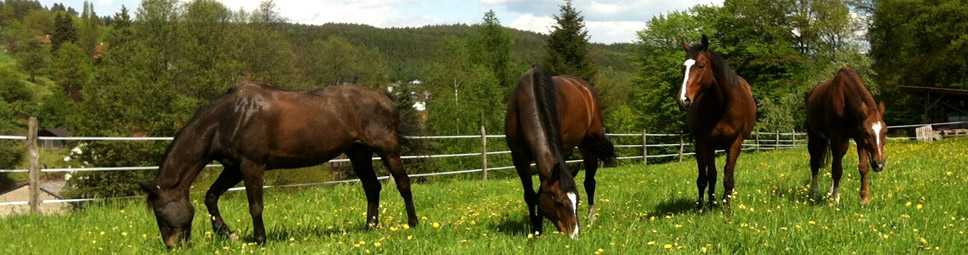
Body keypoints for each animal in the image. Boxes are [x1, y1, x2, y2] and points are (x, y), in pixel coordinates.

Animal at [138, 82, 418, 249]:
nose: (174, 247)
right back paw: (370, 227)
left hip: (387, 150)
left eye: (161, 215)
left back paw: (413, 224)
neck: (230, 118)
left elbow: (255, 206)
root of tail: (386, 97)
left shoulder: (252, 166)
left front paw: (259, 240)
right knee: (372, 187)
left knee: (403, 184)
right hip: (358, 153)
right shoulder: (233, 168)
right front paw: (227, 233)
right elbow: (211, 196)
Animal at [502, 64, 616, 238]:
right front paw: (535, 229)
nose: (574, 234)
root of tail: (585, 87)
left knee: (590, 182)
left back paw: (591, 218)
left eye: (577, 201)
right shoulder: (519, 157)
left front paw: (538, 227)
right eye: (558, 202)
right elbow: (530, 195)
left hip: (588, 145)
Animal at [672, 34, 756, 208]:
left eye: (701, 65)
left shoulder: (735, 143)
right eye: (683, 68)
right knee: (712, 174)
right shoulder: (703, 142)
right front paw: (702, 208)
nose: (683, 99)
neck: (722, 106)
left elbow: (728, 178)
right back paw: (711, 203)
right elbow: (704, 178)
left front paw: (727, 210)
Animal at [804, 66, 888, 204]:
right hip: (814, 138)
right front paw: (836, 200)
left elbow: (863, 167)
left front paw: (865, 199)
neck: (844, 100)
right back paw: (814, 192)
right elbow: (837, 169)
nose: (879, 164)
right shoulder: (837, 138)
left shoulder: (859, 140)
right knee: (815, 163)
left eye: (885, 131)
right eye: (867, 132)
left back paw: (830, 191)